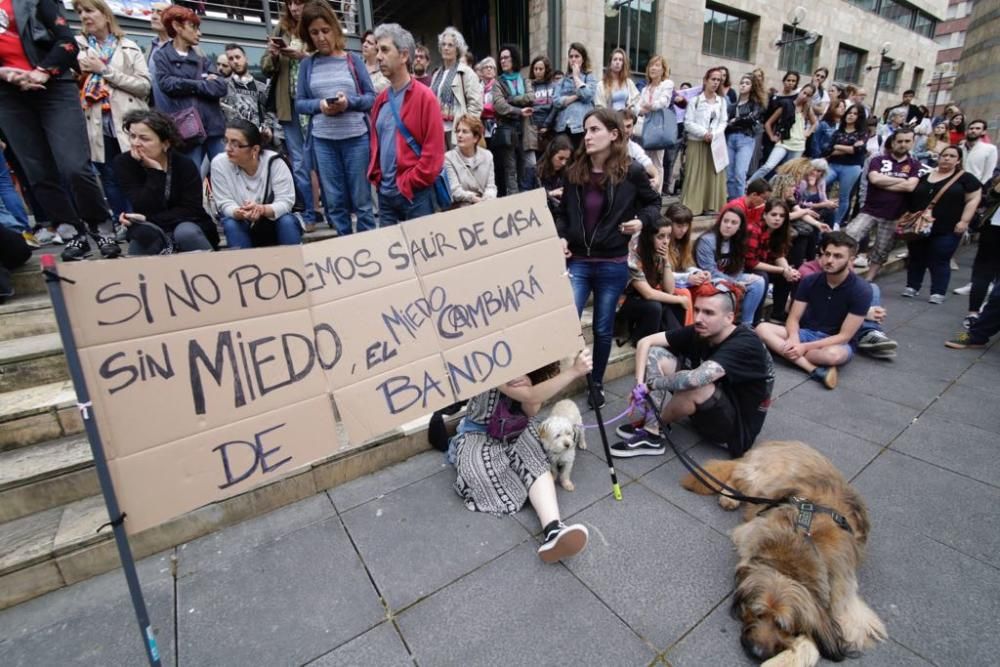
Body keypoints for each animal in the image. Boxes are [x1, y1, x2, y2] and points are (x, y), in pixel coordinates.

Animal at [684, 440, 888, 664]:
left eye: (783, 626)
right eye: (757, 613)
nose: (756, 652)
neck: (800, 548)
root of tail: (778, 443)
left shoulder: (849, 610)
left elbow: (819, 635)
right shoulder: (750, 533)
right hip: (759, 478)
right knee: (736, 475)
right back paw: (729, 497)